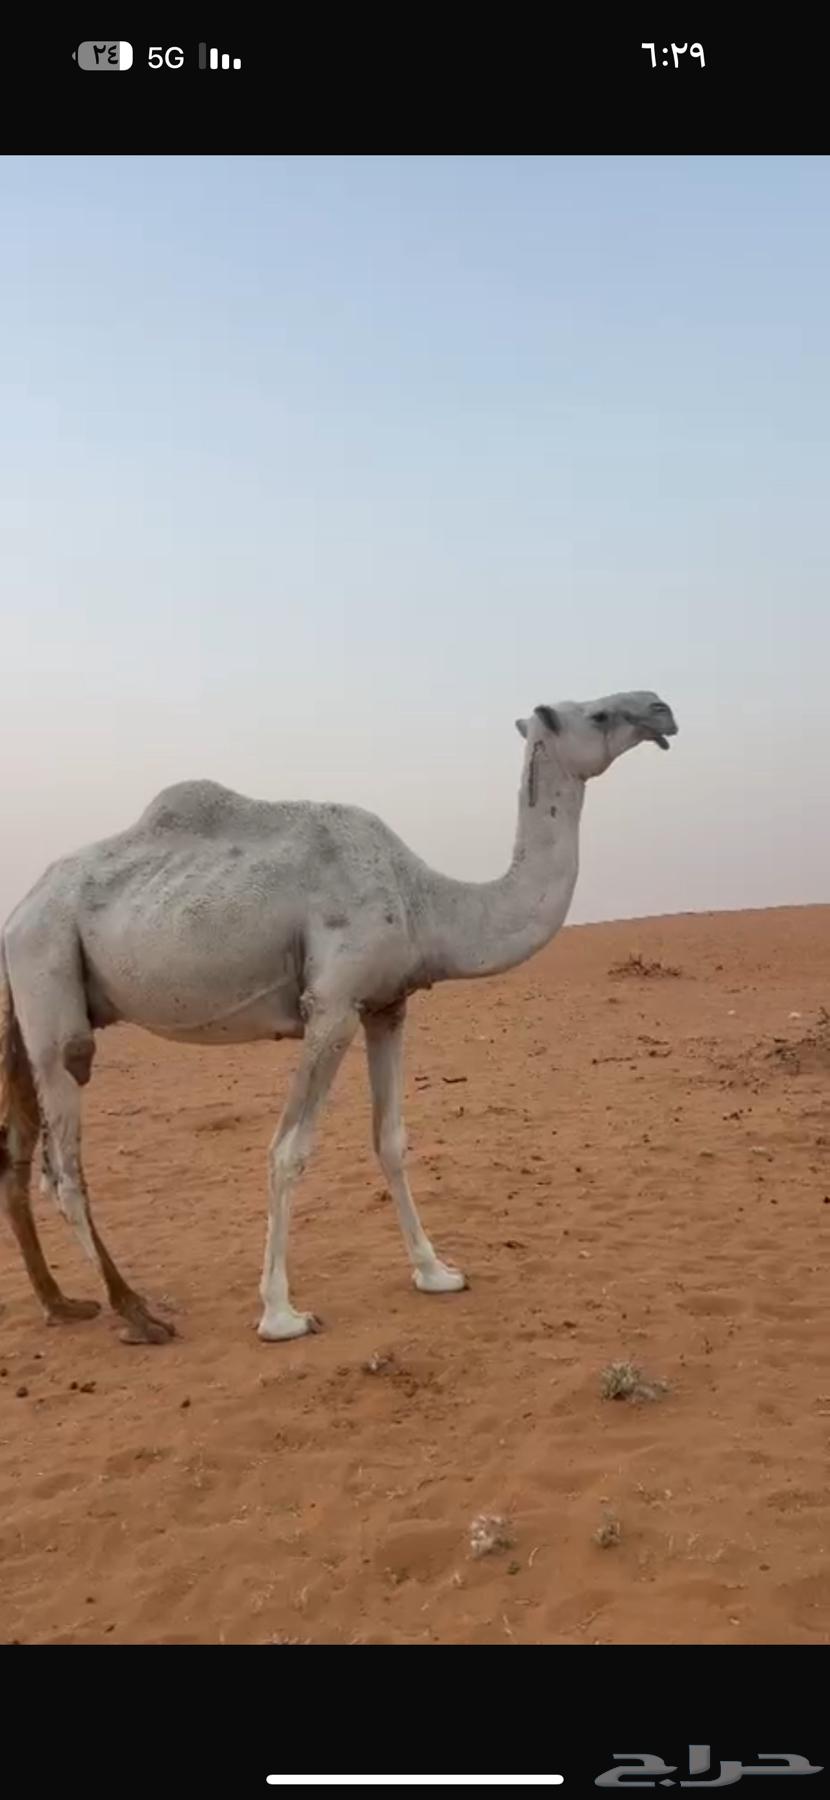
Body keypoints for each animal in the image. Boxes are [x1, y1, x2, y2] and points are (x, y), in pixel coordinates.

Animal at [0, 690, 677, 1344]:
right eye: (598, 714)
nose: (661, 709)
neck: (426, 900)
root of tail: (18, 911)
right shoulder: (331, 1006)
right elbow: (288, 1151)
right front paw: (281, 1314)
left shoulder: (386, 1006)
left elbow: (391, 1140)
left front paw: (436, 1272)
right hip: (49, 976)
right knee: (64, 1166)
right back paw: (136, 1313)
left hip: (28, 1004)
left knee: (18, 1152)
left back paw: (61, 1303)